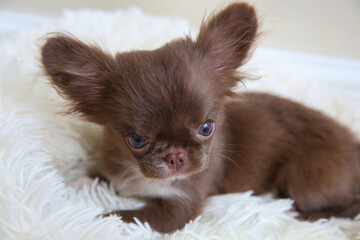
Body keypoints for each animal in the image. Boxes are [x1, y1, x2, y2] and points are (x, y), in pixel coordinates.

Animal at [40, 2, 360, 233]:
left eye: (206, 128)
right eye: (136, 141)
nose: (176, 155)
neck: (141, 177)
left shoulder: (179, 209)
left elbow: (119, 216)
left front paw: (92, 218)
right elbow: (103, 175)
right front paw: (78, 182)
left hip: (307, 179)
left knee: (348, 204)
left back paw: (298, 213)